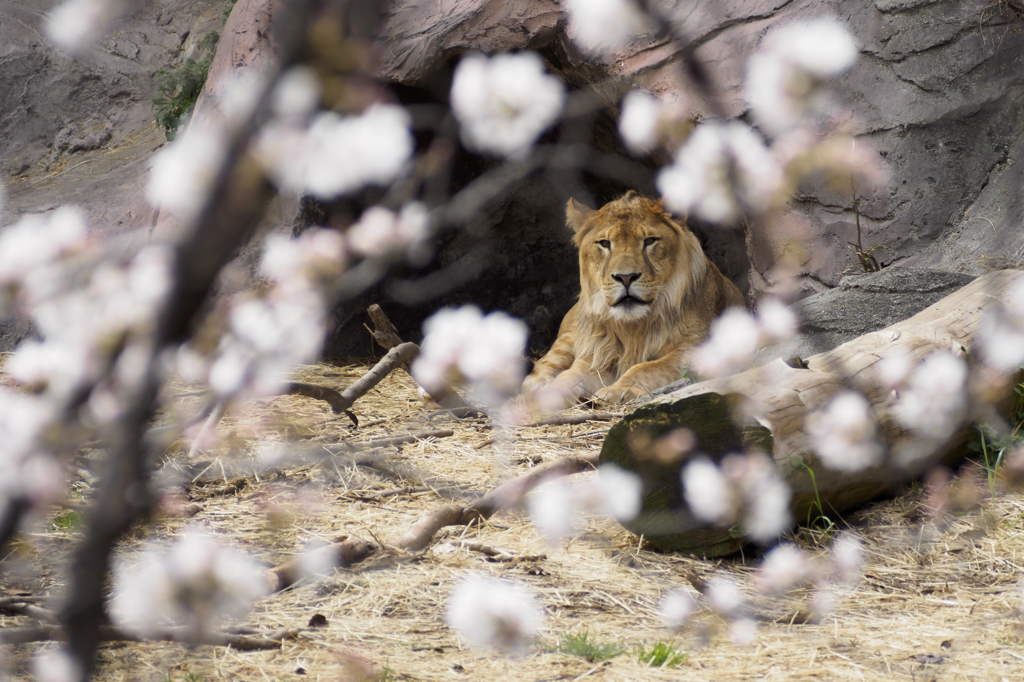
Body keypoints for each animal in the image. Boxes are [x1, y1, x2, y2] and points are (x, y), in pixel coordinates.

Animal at [520, 188, 745, 405]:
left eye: (649, 241)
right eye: (605, 243)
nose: (625, 277)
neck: (633, 327)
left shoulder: (698, 348)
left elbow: (646, 368)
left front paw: (617, 390)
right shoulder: (595, 356)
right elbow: (569, 375)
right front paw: (549, 394)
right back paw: (537, 383)